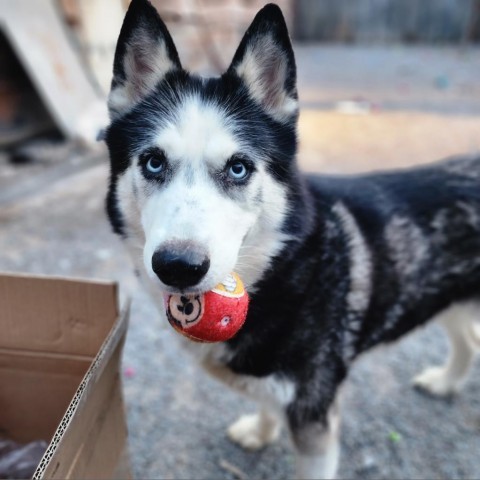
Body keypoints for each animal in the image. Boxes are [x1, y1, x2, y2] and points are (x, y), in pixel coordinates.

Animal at [105, 1, 480, 478]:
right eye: (153, 162)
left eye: (239, 168)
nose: (178, 266)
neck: (278, 273)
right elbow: (267, 404)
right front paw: (262, 430)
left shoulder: (314, 412)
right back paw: (446, 382)